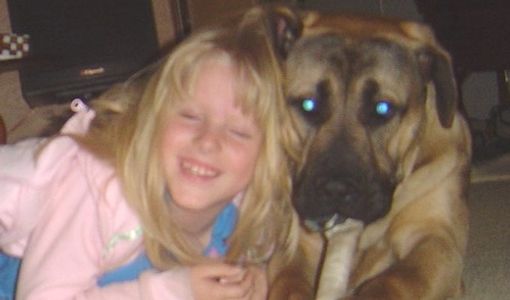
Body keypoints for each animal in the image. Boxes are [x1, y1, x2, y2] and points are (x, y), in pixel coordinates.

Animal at [258, 5, 474, 300]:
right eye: (308, 104)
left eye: (382, 109)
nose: (336, 189)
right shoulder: (298, 243)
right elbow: (289, 283)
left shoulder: (437, 237)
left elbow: (399, 278)